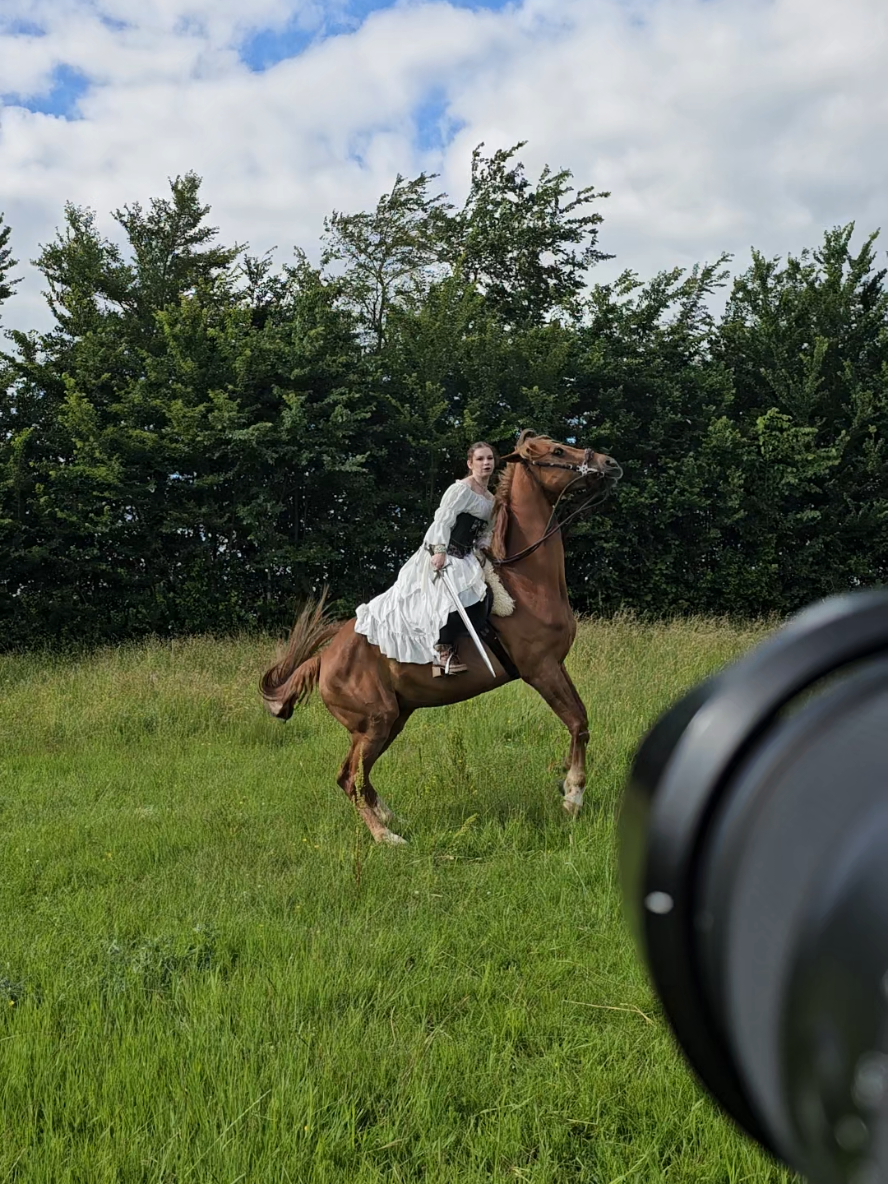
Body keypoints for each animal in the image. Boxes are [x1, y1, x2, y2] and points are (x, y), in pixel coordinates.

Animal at [260, 430, 622, 844]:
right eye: (558, 450)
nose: (610, 464)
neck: (527, 581)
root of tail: (324, 658)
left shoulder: (556, 666)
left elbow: (582, 721)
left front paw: (567, 787)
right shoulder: (541, 669)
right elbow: (577, 722)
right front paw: (572, 797)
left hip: (391, 720)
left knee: (356, 776)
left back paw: (392, 819)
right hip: (375, 722)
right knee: (351, 778)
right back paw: (387, 838)